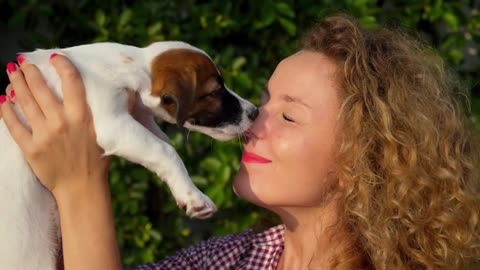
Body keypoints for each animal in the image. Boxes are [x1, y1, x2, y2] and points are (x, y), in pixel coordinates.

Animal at [0, 40, 258, 270]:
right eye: (215, 91)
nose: (255, 112)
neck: (131, 65)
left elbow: (162, 144)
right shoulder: (113, 124)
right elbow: (166, 150)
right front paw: (194, 196)